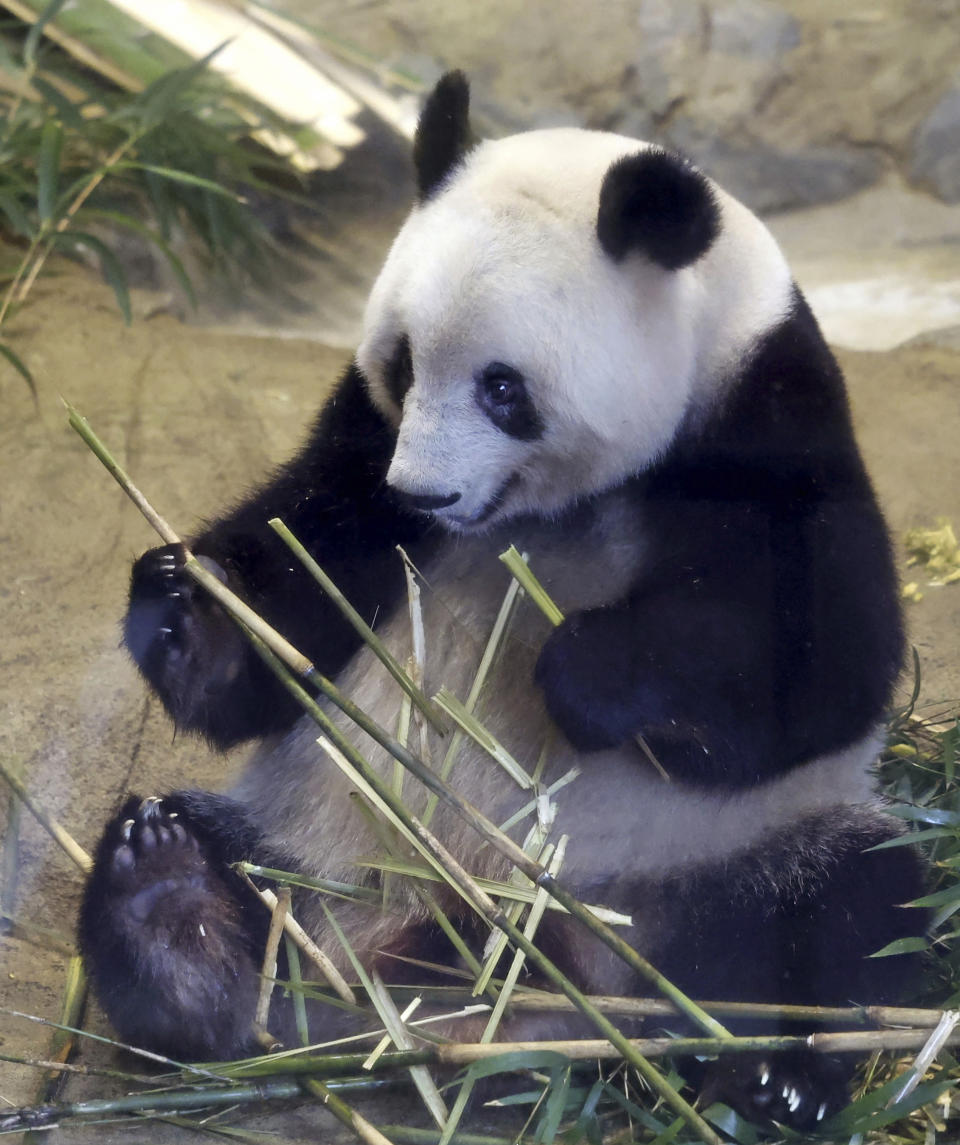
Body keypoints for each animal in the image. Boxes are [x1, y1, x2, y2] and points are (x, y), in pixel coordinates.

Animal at [80, 76, 925, 1131]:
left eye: (504, 389)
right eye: (404, 364)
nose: (424, 493)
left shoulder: (769, 421)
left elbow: (827, 665)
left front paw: (593, 671)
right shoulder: (362, 442)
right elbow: (303, 588)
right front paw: (187, 606)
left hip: (717, 859)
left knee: (854, 908)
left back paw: (775, 1076)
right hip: (324, 858)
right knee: (239, 887)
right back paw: (172, 916)